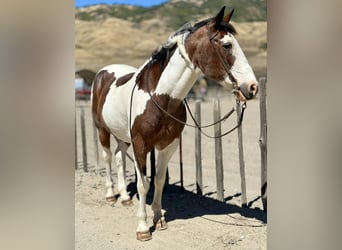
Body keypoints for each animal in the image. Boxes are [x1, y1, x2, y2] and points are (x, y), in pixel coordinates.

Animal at [91, 5, 260, 240]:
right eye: (227, 45)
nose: (252, 87)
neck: (161, 96)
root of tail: (103, 72)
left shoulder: (168, 145)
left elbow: (159, 180)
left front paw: (158, 218)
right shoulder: (140, 144)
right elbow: (143, 184)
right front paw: (143, 227)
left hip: (122, 135)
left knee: (118, 157)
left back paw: (124, 197)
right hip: (102, 130)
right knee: (108, 158)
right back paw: (110, 195)